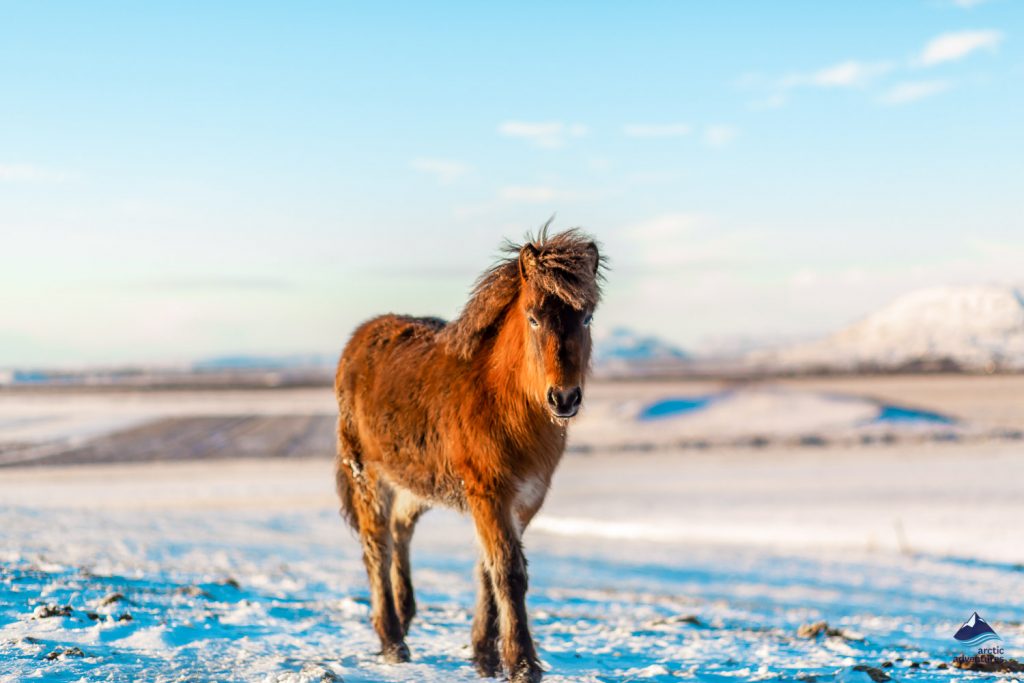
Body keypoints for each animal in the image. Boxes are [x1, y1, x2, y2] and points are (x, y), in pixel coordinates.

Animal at [334, 226, 604, 682]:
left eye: (586, 317)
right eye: (533, 317)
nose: (564, 398)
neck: (502, 401)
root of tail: (358, 339)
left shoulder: (523, 500)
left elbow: (488, 570)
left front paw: (485, 656)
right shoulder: (489, 493)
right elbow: (508, 573)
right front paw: (523, 664)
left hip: (415, 484)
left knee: (400, 530)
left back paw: (404, 614)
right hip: (369, 477)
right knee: (377, 545)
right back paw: (392, 640)